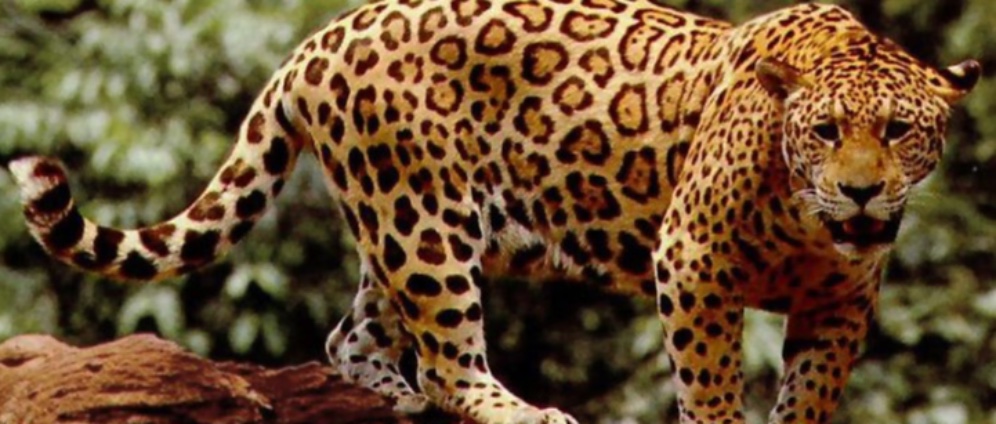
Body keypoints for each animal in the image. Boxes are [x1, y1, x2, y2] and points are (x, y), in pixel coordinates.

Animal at [9, 0, 980, 423]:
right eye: (824, 132)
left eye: (898, 132)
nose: (861, 190)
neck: (808, 220)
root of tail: (320, 37)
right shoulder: (693, 260)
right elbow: (708, 383)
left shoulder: (841, 301)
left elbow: (810, 391)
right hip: (425, 223)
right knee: (447, 358)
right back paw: (518, 411)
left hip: (398, 225)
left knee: (352, 336)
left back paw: (394, 400)